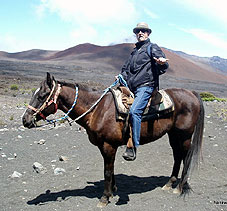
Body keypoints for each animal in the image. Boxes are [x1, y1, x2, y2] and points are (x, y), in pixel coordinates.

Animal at [22, 73, 204, 208]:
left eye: (42, 95)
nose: (25, 120)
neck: (97, 110)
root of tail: (192, 94)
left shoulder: (109, 145)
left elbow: (107, 171)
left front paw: (104, 198)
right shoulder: (105, 146)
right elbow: (111, 168)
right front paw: (113, 189)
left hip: (185, 135)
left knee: (186, 157)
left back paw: (179, 188)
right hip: (173, 134)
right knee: (177, 156)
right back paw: (169, 183)